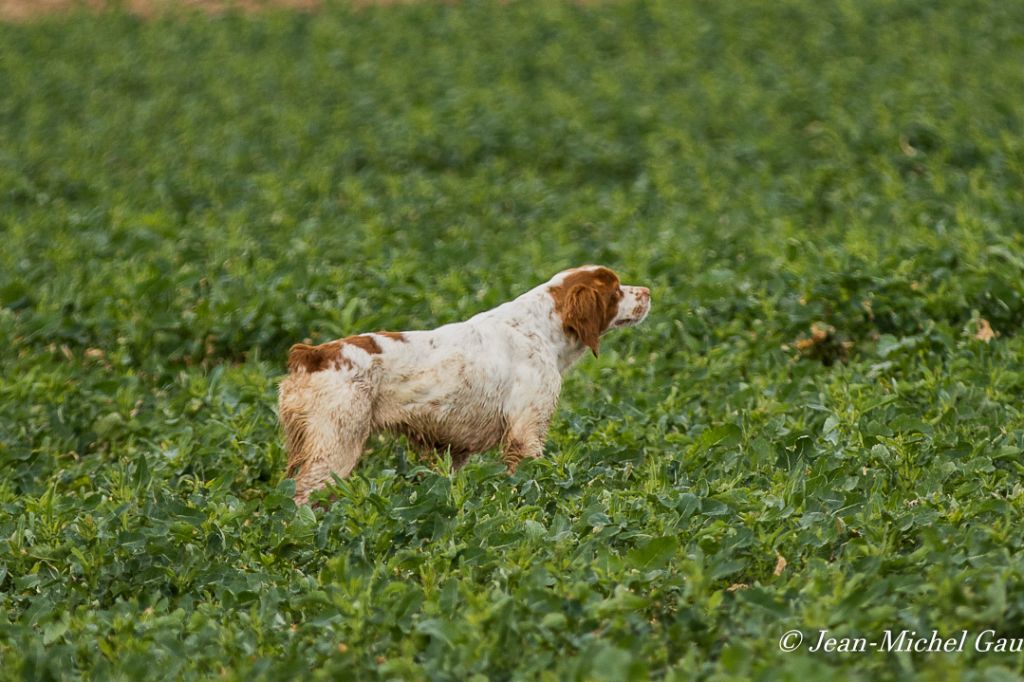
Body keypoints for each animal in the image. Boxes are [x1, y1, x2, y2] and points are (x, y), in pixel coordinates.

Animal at [276, 266, 651, 503]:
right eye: (617, 289)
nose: (648, 291)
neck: (540, 329)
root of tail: (312, 354)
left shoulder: (454, 449)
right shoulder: (526, 432)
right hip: (336, 447)